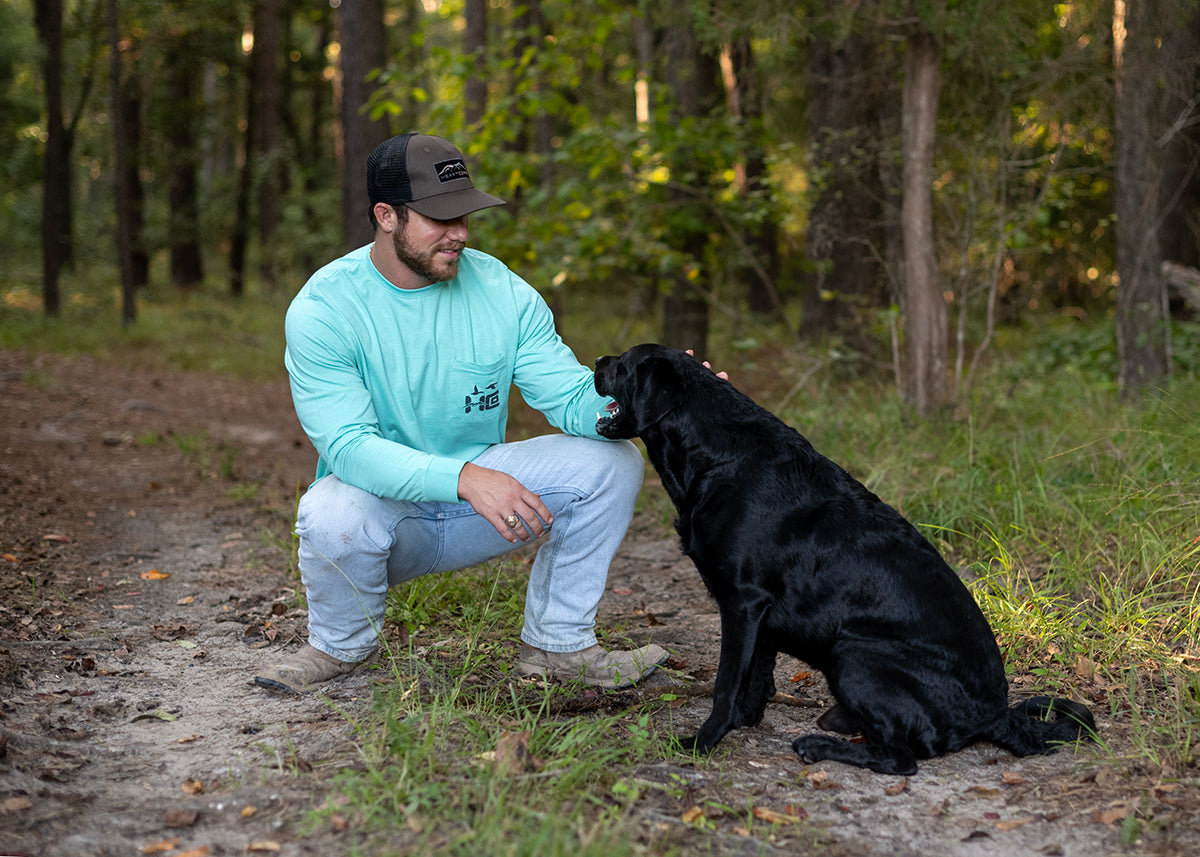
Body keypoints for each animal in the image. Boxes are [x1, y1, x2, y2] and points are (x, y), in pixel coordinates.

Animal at [595, 343, 1094, 772]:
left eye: (623, 363)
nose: (598, 358)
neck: (717, 456)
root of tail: (996, 715)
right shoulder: (761, 613)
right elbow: (756, 677)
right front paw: (745, 721)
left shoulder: (742, 602)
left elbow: (725, 684)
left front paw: (702, 742)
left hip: (852, 654)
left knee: (902, 759)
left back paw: (819, 745)